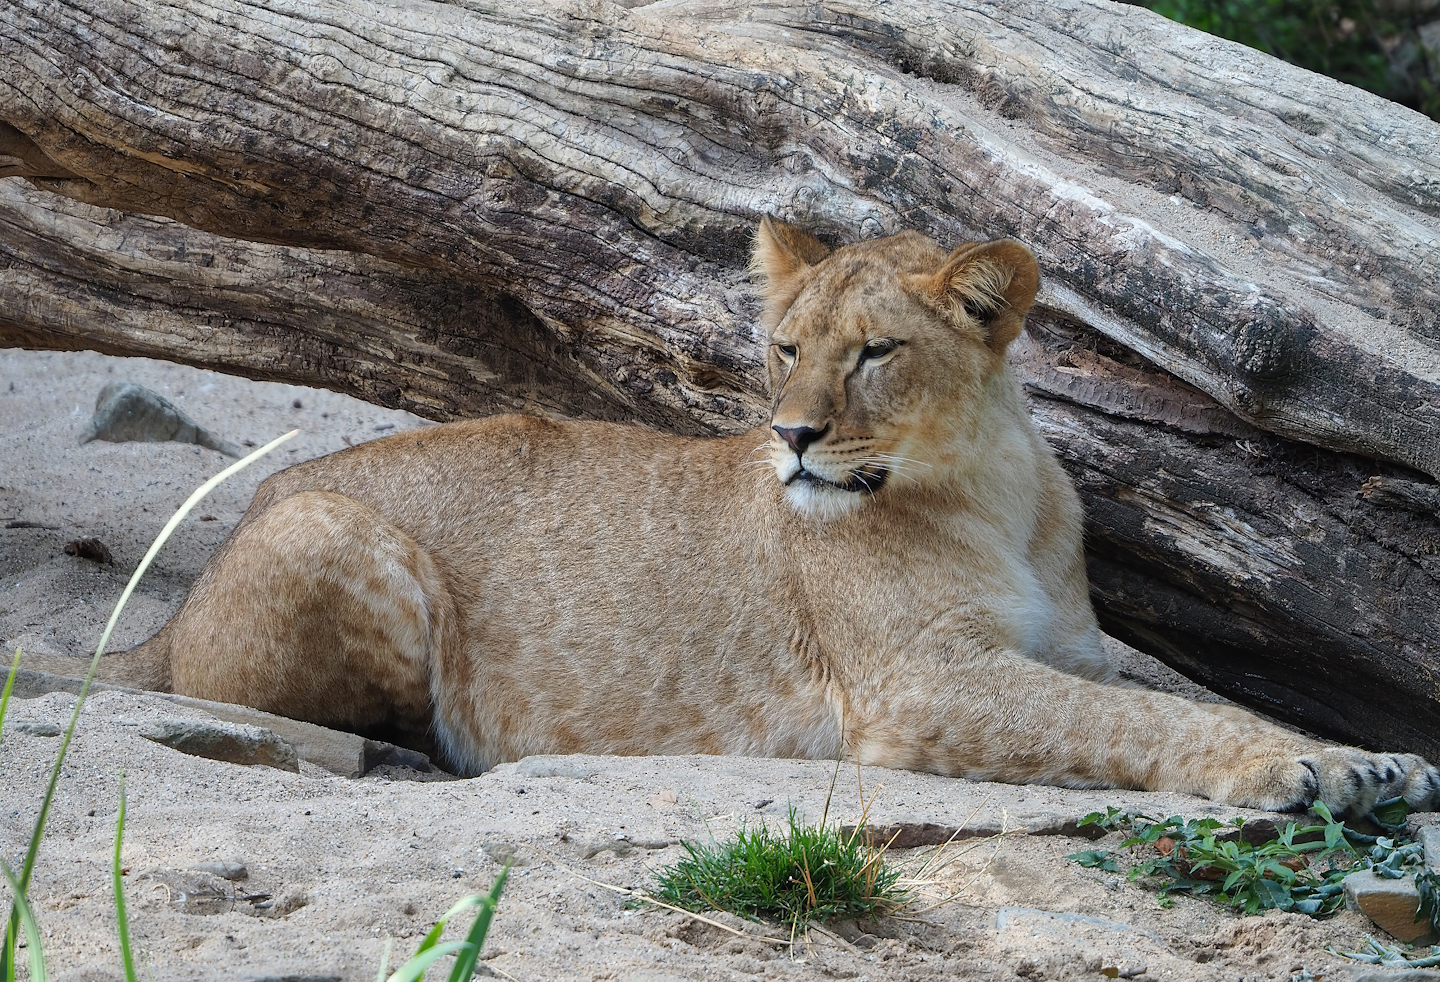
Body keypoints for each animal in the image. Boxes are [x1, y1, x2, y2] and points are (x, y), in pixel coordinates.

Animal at [53, 217, 1439, 815]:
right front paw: (1313, 767)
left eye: (875, 351)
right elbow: (1141, 720)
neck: (990, 487)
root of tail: (167, 617)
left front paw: (1372, 756)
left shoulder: (1065, 651)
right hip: (338, 530)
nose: (793, 435)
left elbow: (1159, 698)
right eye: (782, 349)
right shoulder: (915, 685)